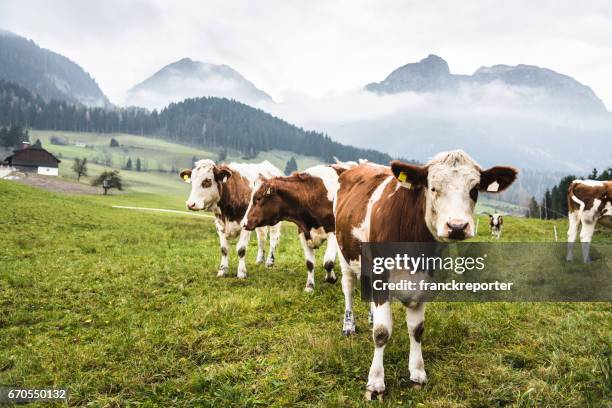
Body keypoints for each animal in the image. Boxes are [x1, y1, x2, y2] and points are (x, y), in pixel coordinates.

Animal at [239, 164, 354, 292]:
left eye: (259, 198)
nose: (243, 223)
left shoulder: (333, 232)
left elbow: (328, 262)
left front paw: (331, 278)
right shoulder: (303, 232)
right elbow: (310, 263)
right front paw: (309, 286)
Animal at [334, 150, 516, 398]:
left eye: (475, 189)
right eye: (432, 188)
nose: (457, 226)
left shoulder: (424, 281)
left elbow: (417, 329)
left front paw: (417, 373)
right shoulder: (381, 277)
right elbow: (382, 332)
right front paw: (375, 382)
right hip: (344, 253)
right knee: (348, 288)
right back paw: (349, 325)